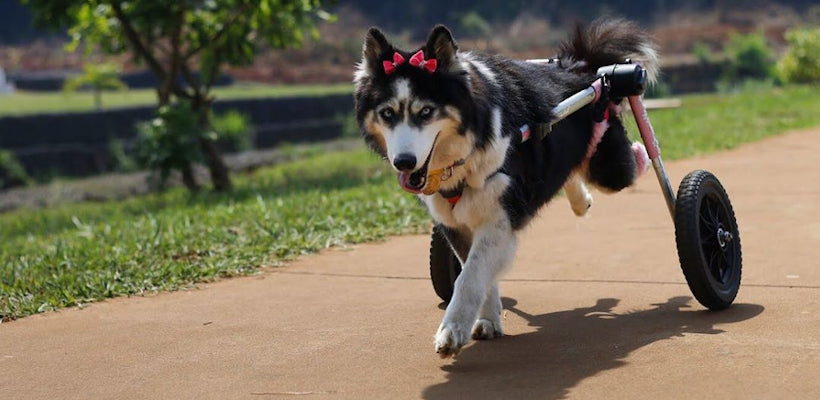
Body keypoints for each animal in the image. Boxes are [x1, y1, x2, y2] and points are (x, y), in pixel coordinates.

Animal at [354, 18, 660, 356]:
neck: (462, 157)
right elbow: (477, 271)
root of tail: (582, 66)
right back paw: (581, 201)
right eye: (387, 113)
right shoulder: (455, 222)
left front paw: (452, 330)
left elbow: (470, 277)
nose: (404, 163)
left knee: (633, 161)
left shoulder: (500, 214)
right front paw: (487, 320)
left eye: (425, 112)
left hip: (611, 169)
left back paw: (644, 150)